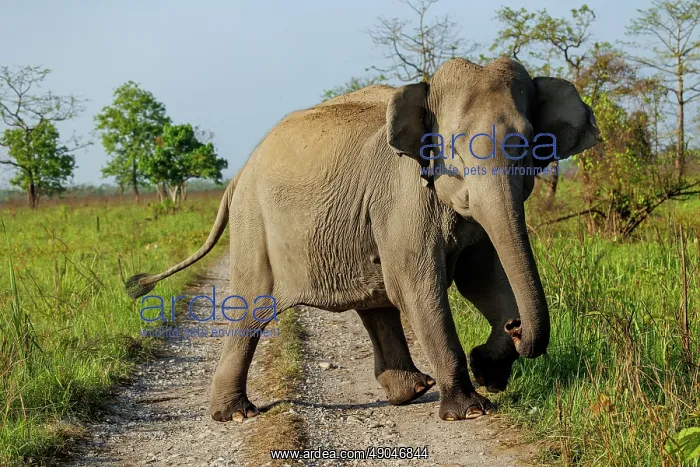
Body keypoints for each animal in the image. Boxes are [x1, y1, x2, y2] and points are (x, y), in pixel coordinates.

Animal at [126, 57, 600, 422]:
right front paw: (469, 410)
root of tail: (238, 174)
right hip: (254, 222)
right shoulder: (405, 197)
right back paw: (236, 415)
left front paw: (489, 370)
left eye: (533, 144)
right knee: (252, 304)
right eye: (456, 148)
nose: (516, 327)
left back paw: (411, 390)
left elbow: (482, 280)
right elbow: (418, 286)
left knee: (376, 298)